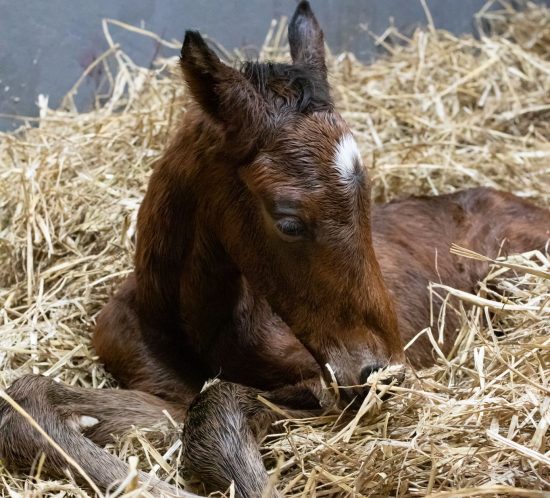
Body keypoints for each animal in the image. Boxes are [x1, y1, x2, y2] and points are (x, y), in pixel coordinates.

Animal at [1, 2, 549, 497]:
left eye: (367, 201)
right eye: (287, 221)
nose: (382, 373)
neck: (190, 326)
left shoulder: (321, 386)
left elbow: (215, 405)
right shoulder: (155, 385)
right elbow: (26, 401)